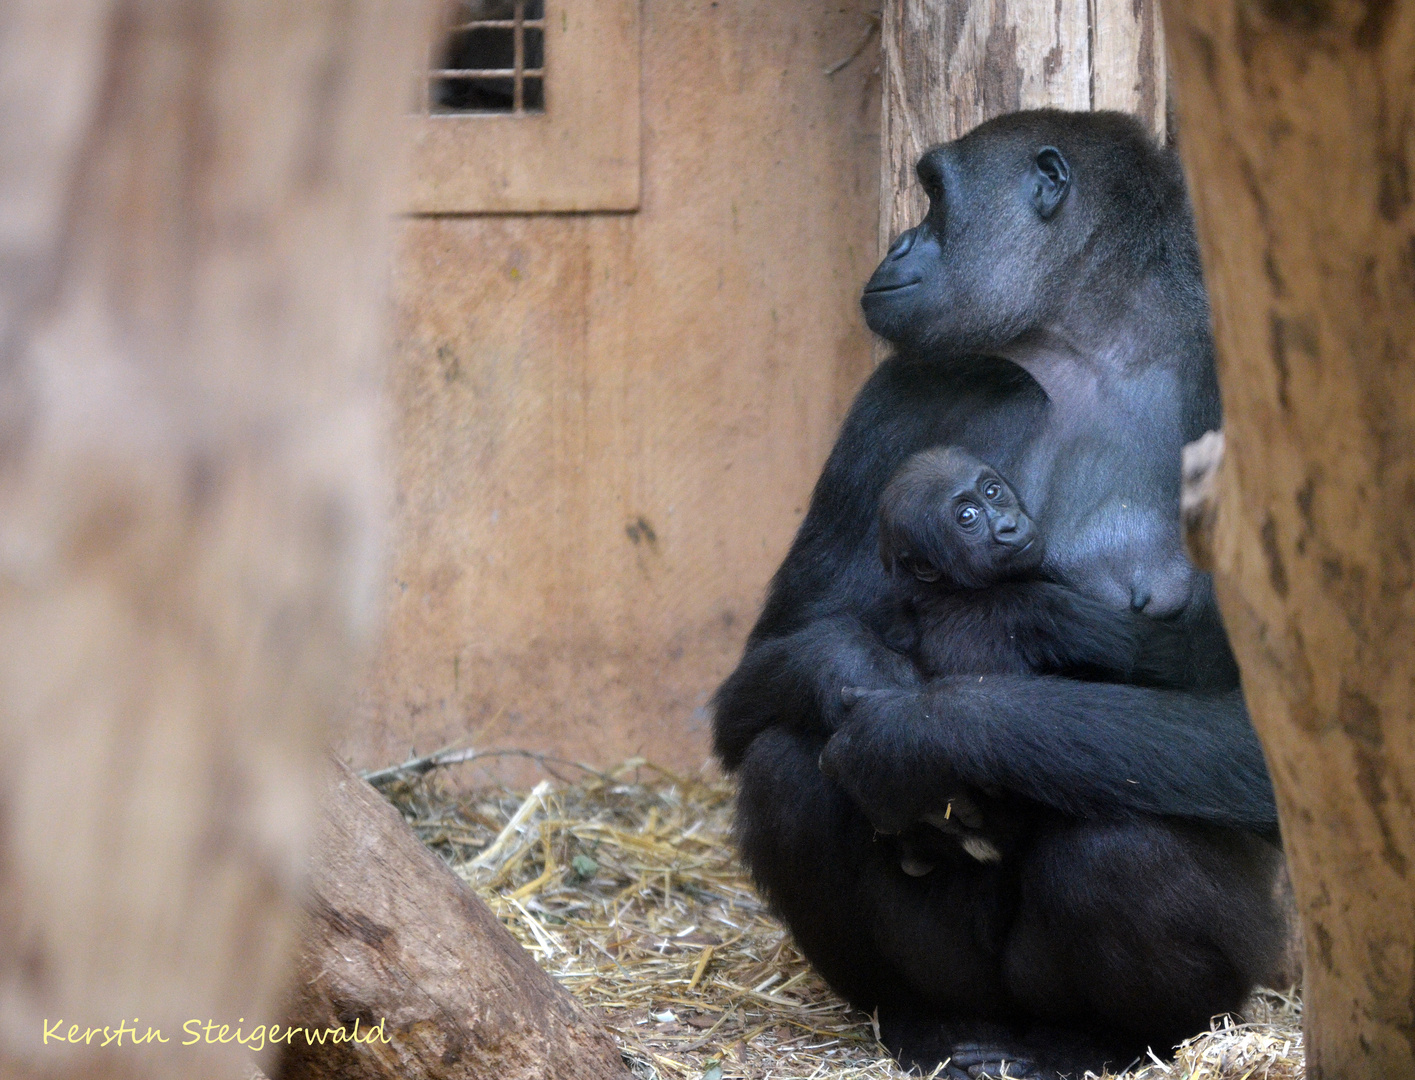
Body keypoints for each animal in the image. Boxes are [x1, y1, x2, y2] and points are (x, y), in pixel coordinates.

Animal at [865, 444, 1188, 871]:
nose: (1008, 525)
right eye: (967, 518)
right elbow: (1166, 656)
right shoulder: (1040, 608)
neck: (949, 588)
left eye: (992, 491)